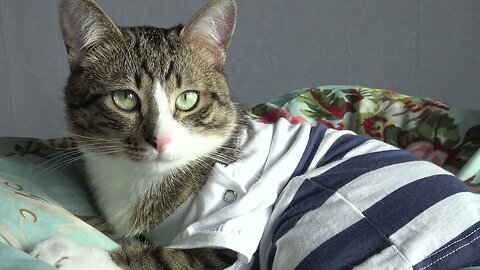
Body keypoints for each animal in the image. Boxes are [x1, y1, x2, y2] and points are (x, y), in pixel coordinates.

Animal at [30, 0, 480, 270]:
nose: (161, 140)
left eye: (188, 99)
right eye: (125, 98)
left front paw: (72, 251)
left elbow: (169, 259)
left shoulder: (230, 225)